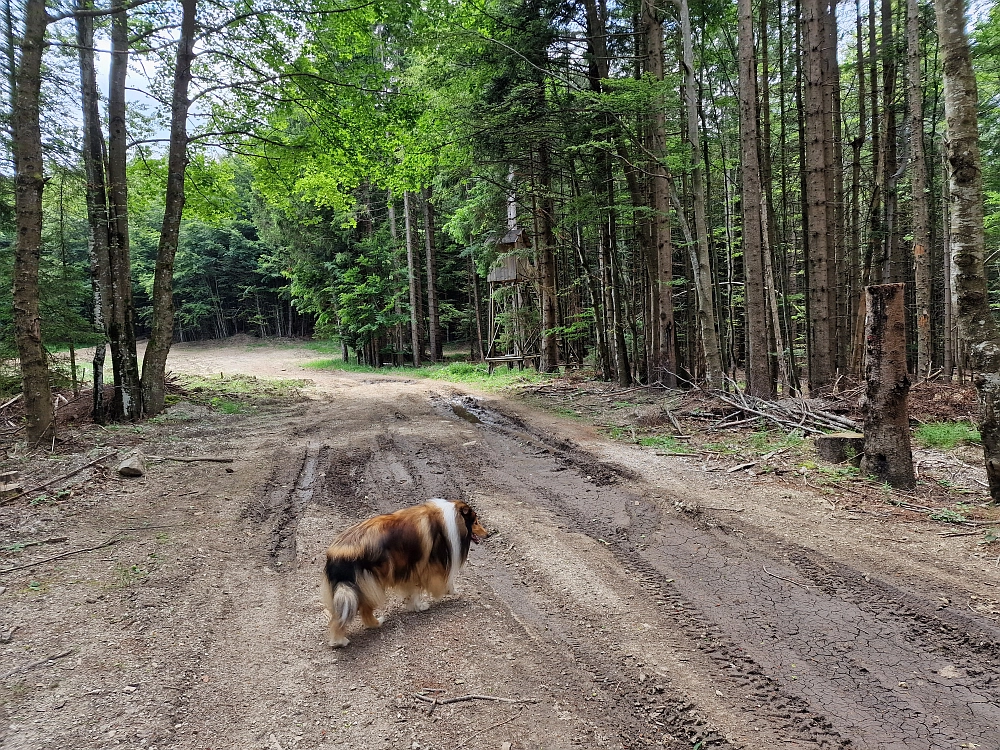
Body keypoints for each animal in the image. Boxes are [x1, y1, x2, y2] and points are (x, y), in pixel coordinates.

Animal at [320, 500, 488, 648]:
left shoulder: (412, 568)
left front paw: (415, 605)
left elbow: (413, 590)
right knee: (362, 612)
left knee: (341, 616)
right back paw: (361, 630)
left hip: (348, 590)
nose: (488, 534)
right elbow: (440, 582)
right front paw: (449, 593)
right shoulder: (429, 566)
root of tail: (337, 555)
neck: (451, 519)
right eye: (475, 521)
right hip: (370, 585)